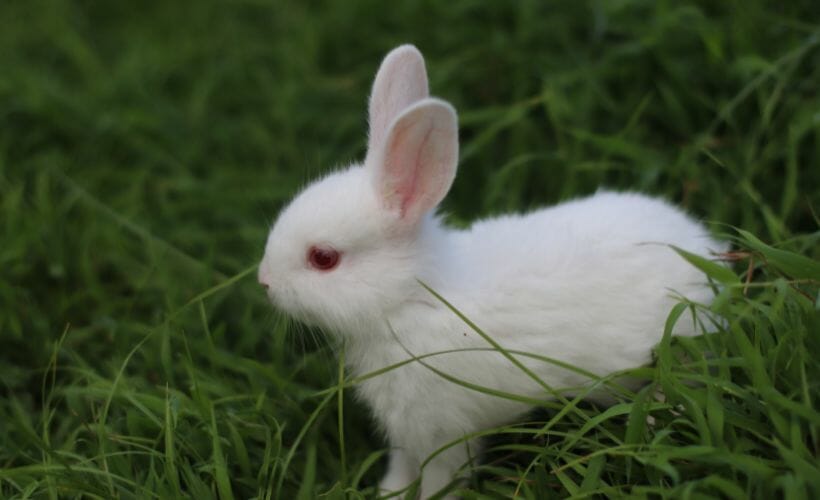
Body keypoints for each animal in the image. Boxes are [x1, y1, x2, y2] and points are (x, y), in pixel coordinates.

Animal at [260, 45, 728, 498]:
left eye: (323, 258)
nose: (264, 282)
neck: (412, 299)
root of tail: (710, 253)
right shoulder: (407, 433)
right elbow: (401, 466)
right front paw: (389, 492)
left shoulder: (444, 432)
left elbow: (440, 479)